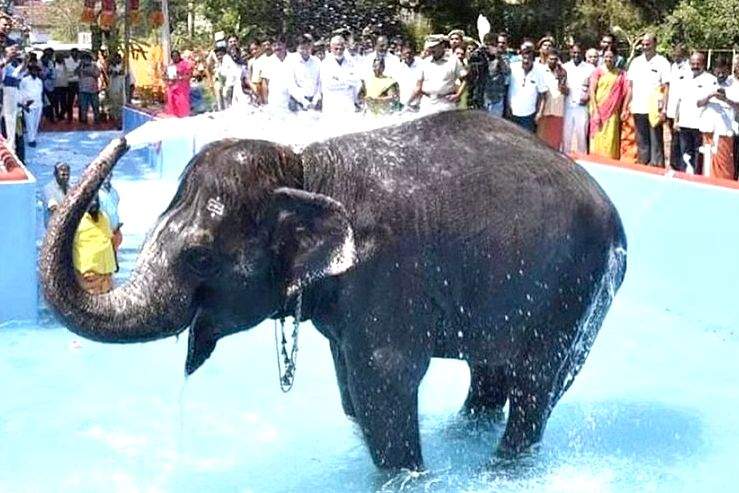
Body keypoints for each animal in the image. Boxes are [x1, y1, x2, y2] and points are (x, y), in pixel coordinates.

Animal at [41, 110, 627, 471]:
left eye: (199, 256)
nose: (123, 136)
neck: (305, 170)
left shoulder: (385, 273)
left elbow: (384, 380)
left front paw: (407, 474)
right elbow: (349, 383)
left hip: (577, 291)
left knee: (536, 383)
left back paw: (500, 468)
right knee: (494, 373)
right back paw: (465, 436)